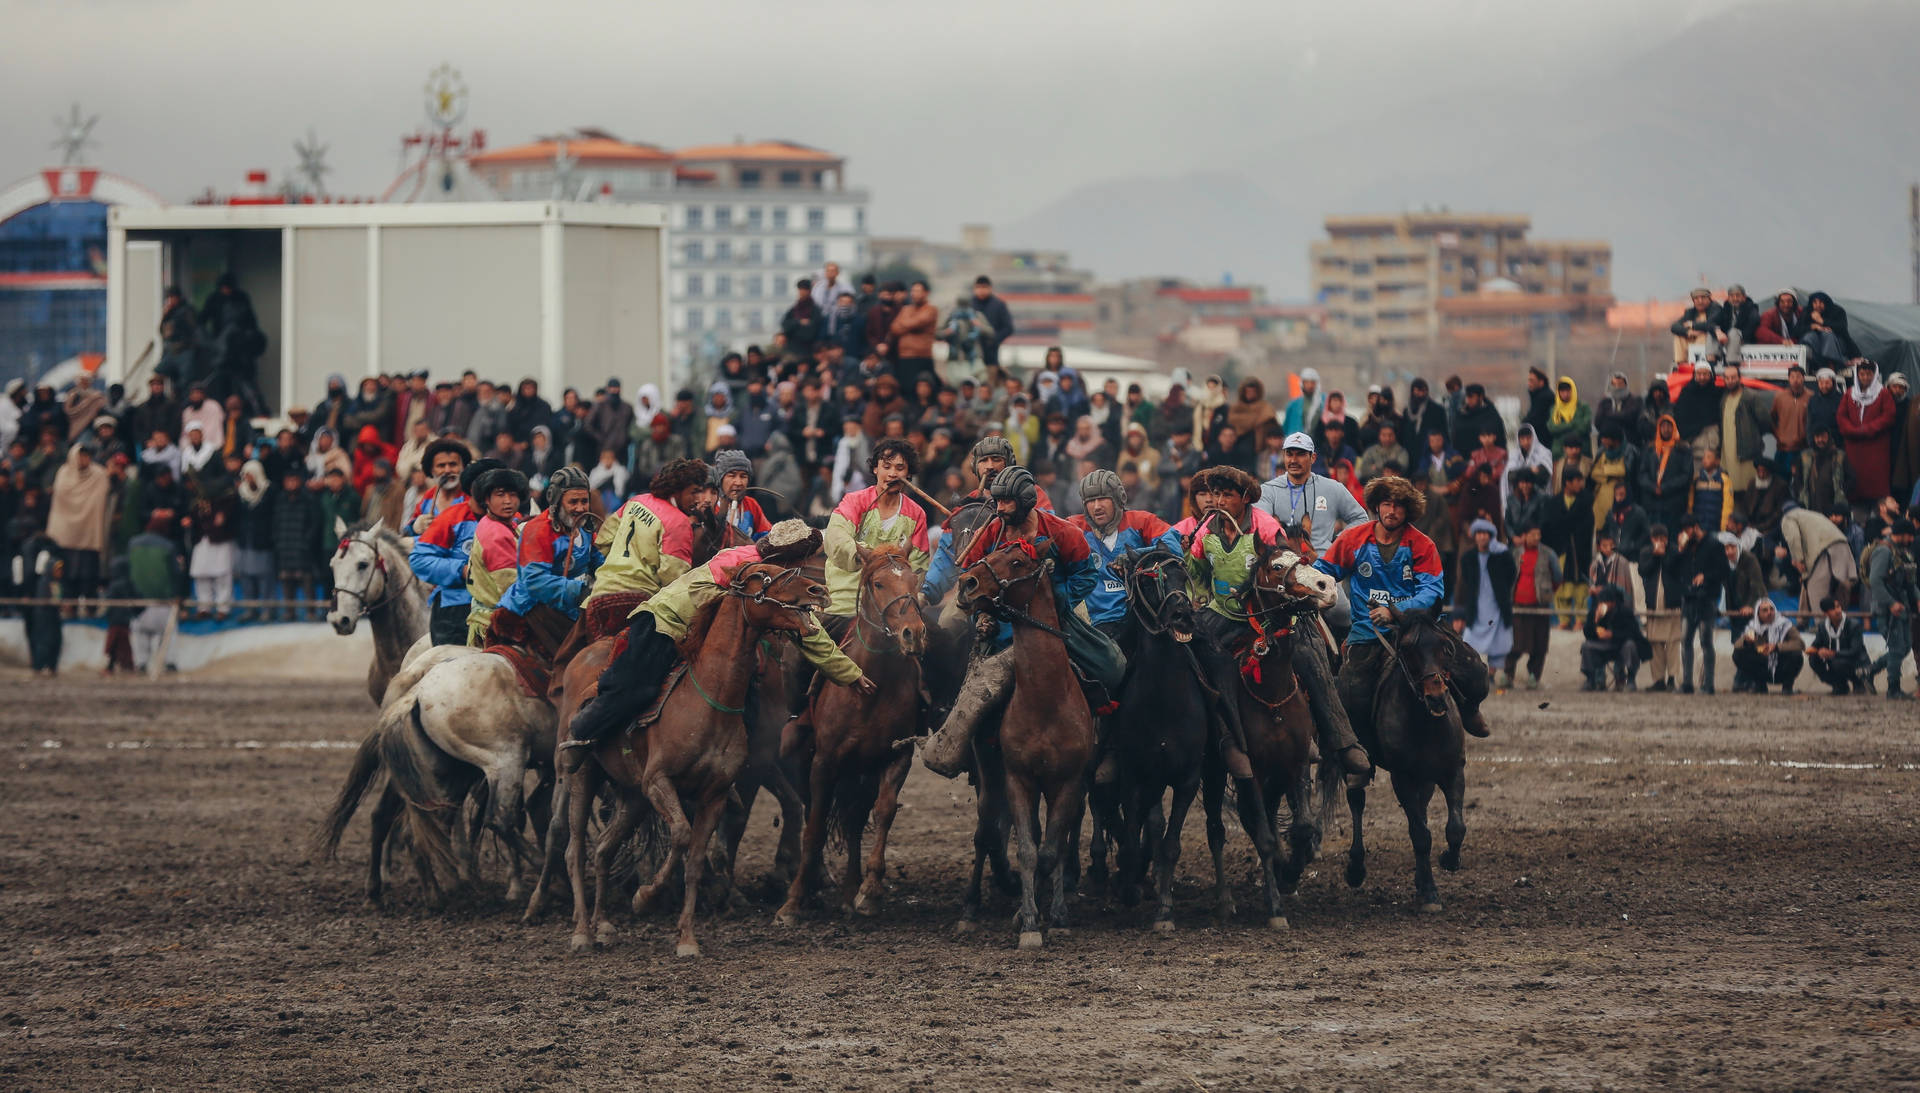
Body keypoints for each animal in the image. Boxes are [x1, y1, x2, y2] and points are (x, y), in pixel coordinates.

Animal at [556, 560, 825, 952]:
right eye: (764, 574)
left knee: (604, 848)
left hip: (632, 796)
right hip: (583, 778)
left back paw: (603, 924)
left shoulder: (713, 794)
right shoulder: (659, 781)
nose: (817, 590)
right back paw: (581, 933)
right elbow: (681, 835)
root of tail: (579, 660)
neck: (709, 699)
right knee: (574, 851)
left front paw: (686, 939)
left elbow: (696, 861)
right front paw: (645, 897)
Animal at [779, 541, 929, 925]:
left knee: (853, 821)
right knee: (811, 813)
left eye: (914, 580)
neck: (873, 686)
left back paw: (849, 892)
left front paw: (870, 891)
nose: (913, 633)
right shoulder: (824, 761)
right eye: (878, 583)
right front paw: (793, 902)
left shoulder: (896, 756)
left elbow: (884, 812)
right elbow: (815, 826)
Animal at [948, 541, 1090, 945]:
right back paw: (970, 909)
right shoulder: (1018, 779)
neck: (1046, 701)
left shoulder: (1069, 782)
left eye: (1015, 561)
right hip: (992, 777)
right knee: (986, 833)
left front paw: (1054, 914)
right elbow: (1028, 850)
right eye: (992, 550)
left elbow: (1051, 850)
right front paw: (1027, 921)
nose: (966, 583)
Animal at [1198, 541, 1336, 925]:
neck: (1272, 695)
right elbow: (1264, 835)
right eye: (1276, 567)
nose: (1327, 587)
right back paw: (1224, 899)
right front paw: (1275, 907)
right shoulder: (1254, 773)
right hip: (1214, 772)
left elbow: (1301, 827)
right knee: (1218, 829)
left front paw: (1289, 873)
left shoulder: (1296, 764)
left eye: (1305, 559)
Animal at [1336, 607, 1466, 910]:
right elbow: (1420, 835)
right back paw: (1356, 869)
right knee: (1357, 801)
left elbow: (1455, 827)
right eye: (1407, 648)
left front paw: (1448, 860)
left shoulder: (1453, 770)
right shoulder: (1402, 778)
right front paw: (1429, 892)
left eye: (1446, 646)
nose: (1436, 697)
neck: (1426, 723)